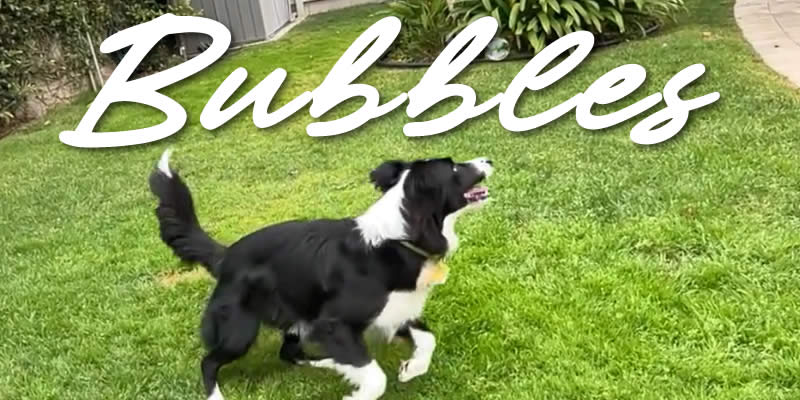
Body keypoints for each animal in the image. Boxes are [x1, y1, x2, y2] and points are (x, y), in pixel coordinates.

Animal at [147, 150, 490, 400]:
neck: (400, 237)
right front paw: (360, 394)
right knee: (209, 362)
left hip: (295, 316)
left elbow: (428, 339)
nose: (488, 161)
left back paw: (330, 364)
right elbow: (375, 377)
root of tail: (226, 254)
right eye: (454, 168)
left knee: (290, 353)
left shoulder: (395, 309)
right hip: (239, 329)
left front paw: (411, 367)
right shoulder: (333, 324)